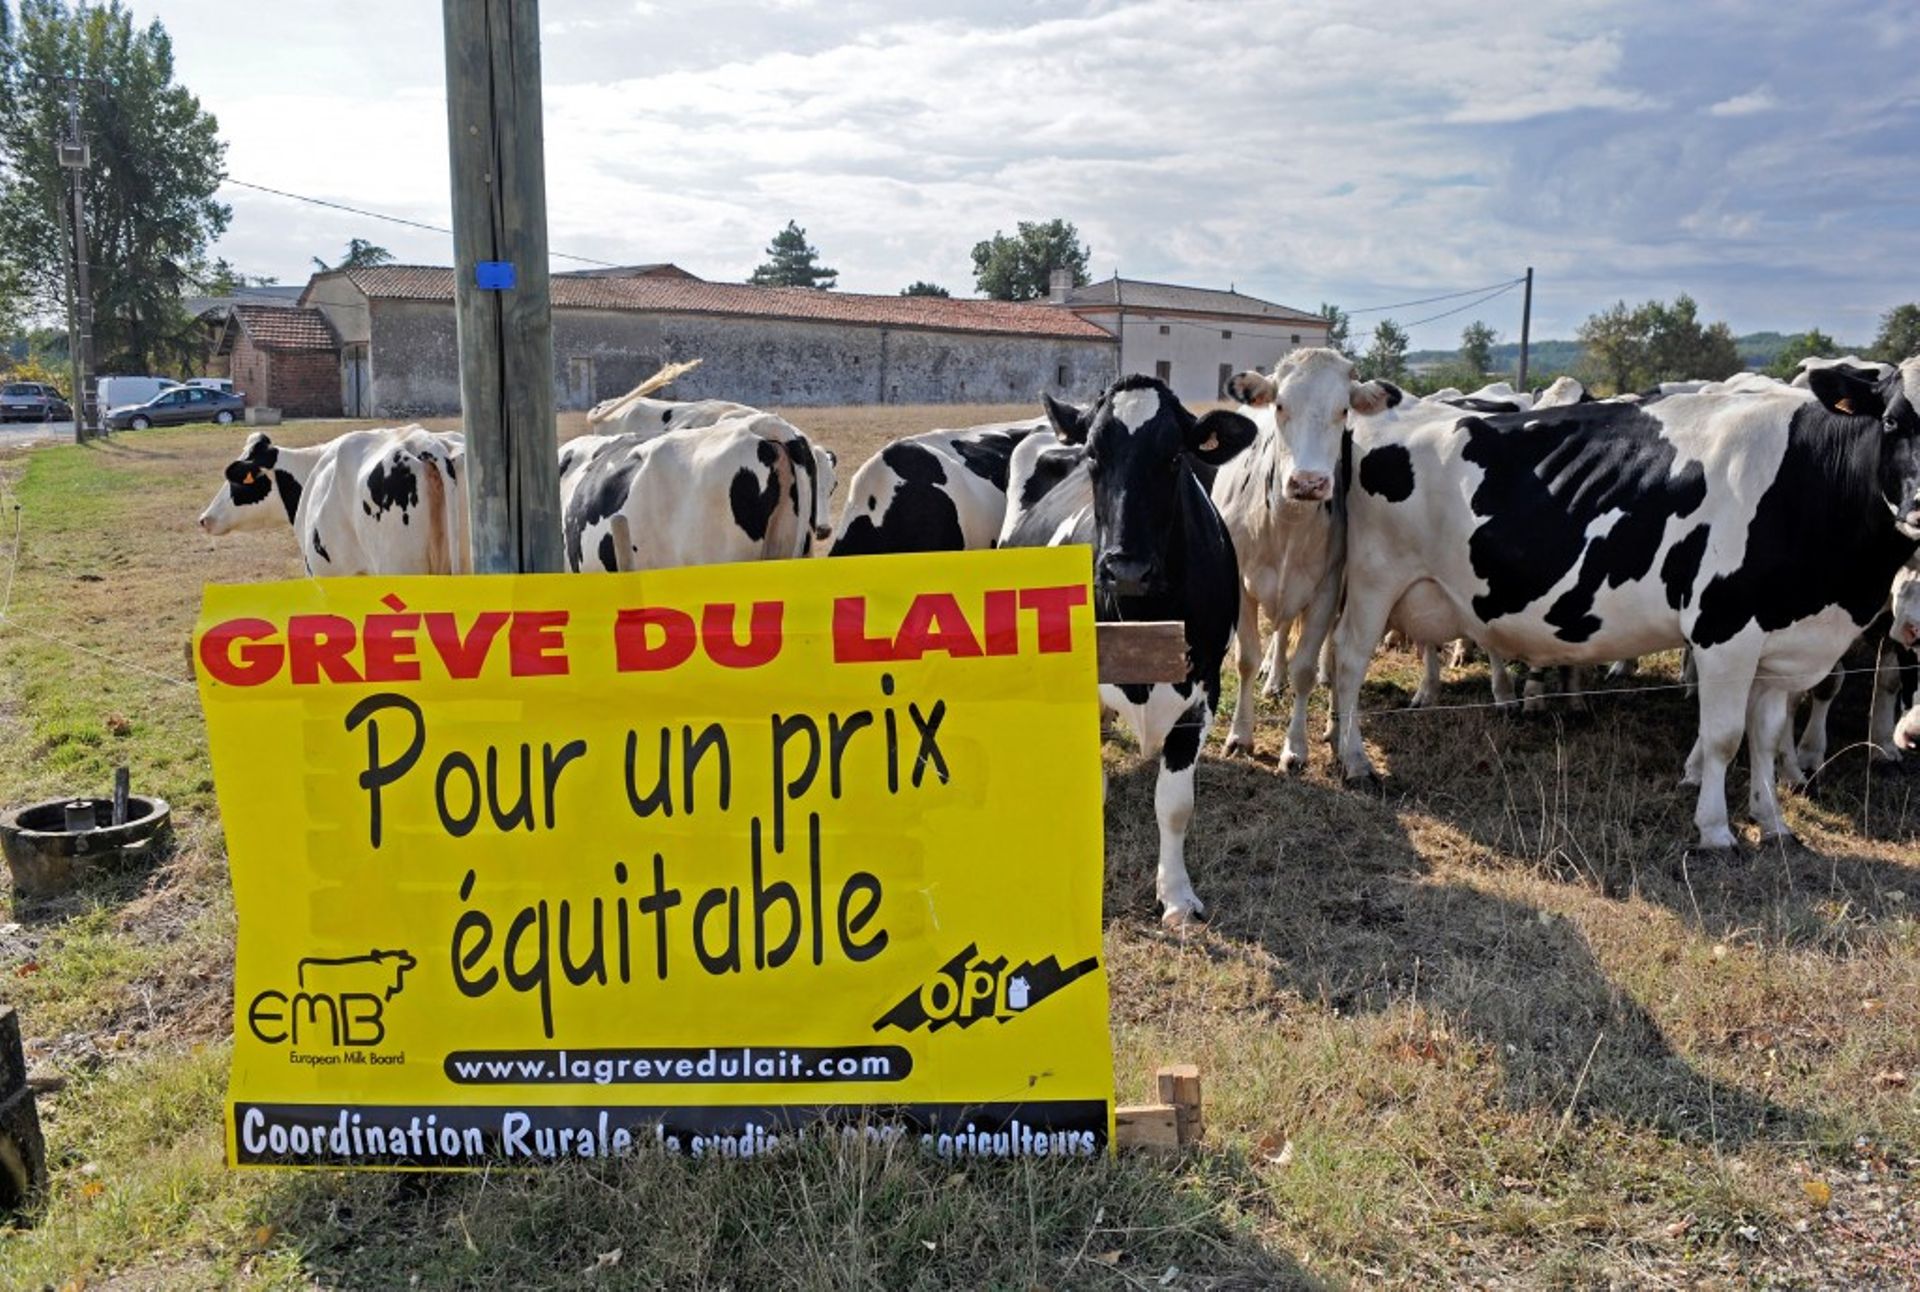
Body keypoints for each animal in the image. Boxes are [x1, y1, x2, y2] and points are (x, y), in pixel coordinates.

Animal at [998, 372, 1251, 929]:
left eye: (1175, 456)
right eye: (1094, 454)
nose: (1126, 568)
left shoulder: (1204, 688)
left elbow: (1174, 804)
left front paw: (1176, 896)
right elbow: (1092, 788)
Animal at [1328, 360, 1920, 844]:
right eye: (1893, 421)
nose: (1917, 509)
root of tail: (1391, 401)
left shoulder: (1782, 644)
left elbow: (1767, 737)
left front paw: (1772, 822)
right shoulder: (1723, 631)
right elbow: (1723, 737)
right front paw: (1716, 830)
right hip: (1373, 581)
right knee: (1349, 662)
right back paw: (1353, 759)